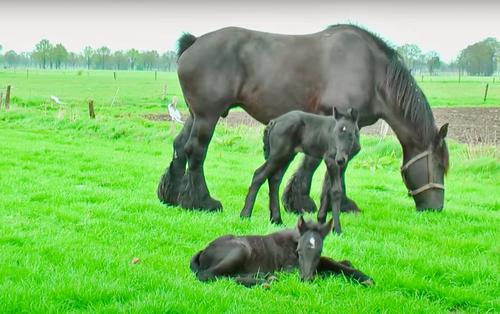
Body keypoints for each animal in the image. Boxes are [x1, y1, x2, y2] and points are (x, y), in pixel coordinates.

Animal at [158, 24, 452, 213]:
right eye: (439, 165)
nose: (436, 207)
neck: (372, 72)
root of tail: (194, 42)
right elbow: (316, 163)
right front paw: (303, 201)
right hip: (207, 116)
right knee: (196, 151)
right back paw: (201, 201)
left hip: (195, 115)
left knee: (179, 147)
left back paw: (172, 195)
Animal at [189, 216, 374, 288]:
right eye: (299, 251)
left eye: (319, 250)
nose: (306, 279)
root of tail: (203, 251)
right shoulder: (288, 269)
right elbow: (325, 269)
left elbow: (331, 262)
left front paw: (364, 277)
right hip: (240, 250)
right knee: (209, 275)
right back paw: (265, 281)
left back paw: (266, 278)